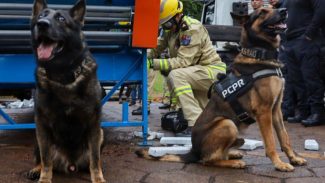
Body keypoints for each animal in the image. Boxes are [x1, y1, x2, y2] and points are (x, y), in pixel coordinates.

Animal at [27, 0, 105, 182]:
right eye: (41, 16)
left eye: (61, 19)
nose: (42, 24)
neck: (62, 74)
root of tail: (71, 165)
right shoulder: (41, 124)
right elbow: (46, 159)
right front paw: (44, 178)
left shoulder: (94, 123)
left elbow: (95, 159)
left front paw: (98, 178)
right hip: (37, 137)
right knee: (42, 158)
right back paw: (36, 169)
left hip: (100, 133)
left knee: (93, 159)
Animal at [135, 7, 306, 172]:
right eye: (262, 12)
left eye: (273, 7)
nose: (284, 11)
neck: (259, 54)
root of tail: (193, 151)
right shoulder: (264, 112)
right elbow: (271, 142)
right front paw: (279, 164)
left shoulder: (276, 110)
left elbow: (284, 138)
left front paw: (293, 158)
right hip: (227, 124)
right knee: (208, 160)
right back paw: (234, 162)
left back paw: (233, 154)